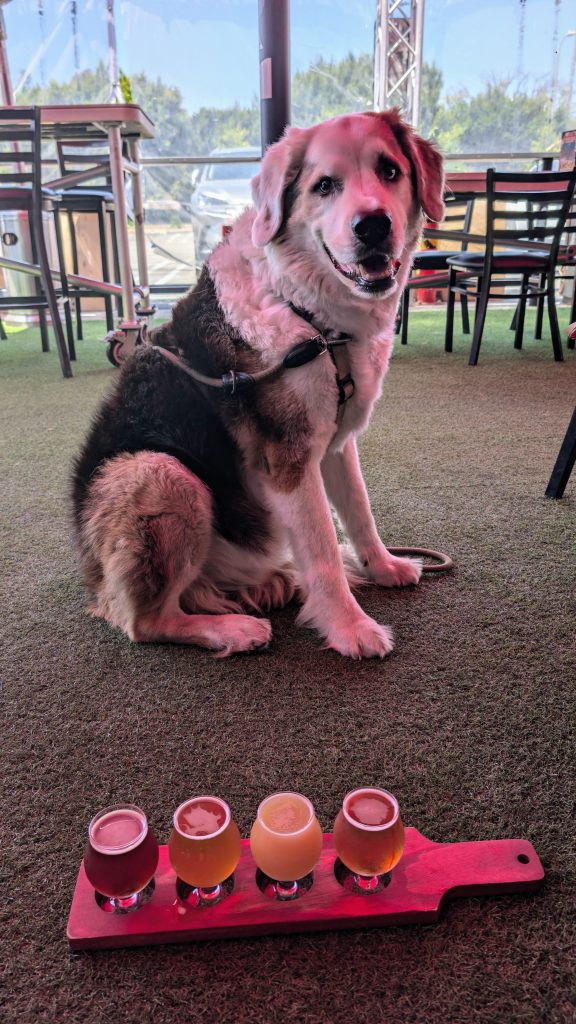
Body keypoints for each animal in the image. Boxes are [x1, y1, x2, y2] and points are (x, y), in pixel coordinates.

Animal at [70, 110, 438, 655]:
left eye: (389, 171)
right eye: (324, 185)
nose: (372, 226)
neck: (307, 313)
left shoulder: (335, 446)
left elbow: (360, 512)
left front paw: (383, 566)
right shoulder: (287, 460)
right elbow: (323, 552)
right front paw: (349, 627)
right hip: (160, 471)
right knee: (145, 621)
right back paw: (233, 628)